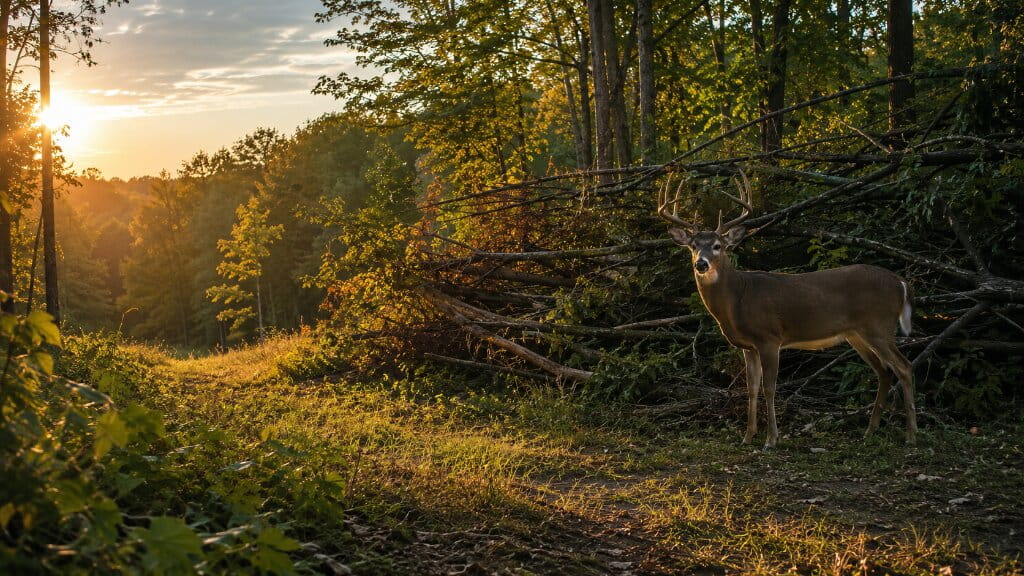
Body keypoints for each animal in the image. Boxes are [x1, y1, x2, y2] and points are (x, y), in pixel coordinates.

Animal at [658, 170, 917, 448]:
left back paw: (911, 435)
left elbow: (769, 387)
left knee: (904, 367)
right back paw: (869, 432)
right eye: (693, 246)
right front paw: (747, 437)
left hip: (878, 325)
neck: (737, 298)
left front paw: (771, 439)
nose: (701, 264)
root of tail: (901, 282)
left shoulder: (770, 338)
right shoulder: (748, 346)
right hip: (856, 333)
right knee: (884, 371)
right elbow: (751, 387)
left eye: (718, 246)